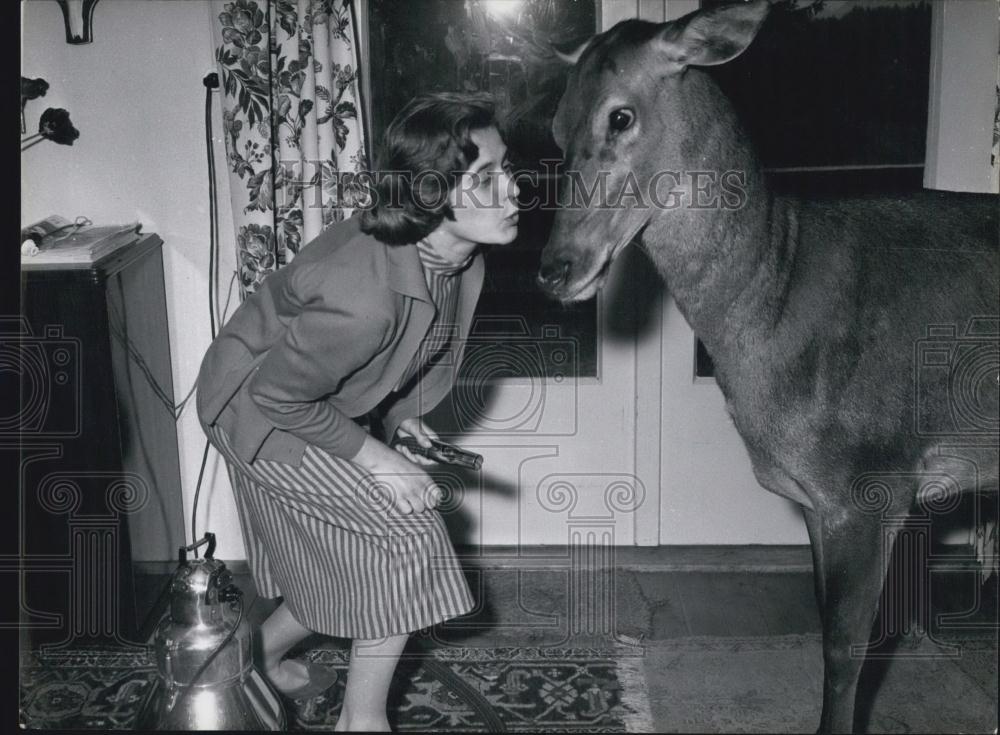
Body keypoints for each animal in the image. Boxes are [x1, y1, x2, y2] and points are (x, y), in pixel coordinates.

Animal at [540, 2, 1000, 732]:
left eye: (620, 115)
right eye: (556, 126)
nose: (555, 268)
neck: (782, 292)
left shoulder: (873, 477)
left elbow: (847, 648)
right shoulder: (817, 498)